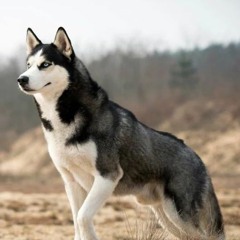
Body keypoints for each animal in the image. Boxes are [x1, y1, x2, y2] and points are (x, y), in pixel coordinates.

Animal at [18, 27, 225, 239]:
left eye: (45, 64)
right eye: (28, 65)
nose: (21, 79)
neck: (66, 118)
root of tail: (197, 157)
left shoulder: (107, 176)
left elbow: (83, 218)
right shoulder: (71, 182)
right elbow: (77, 223)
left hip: (180, 215)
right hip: (168, 217)